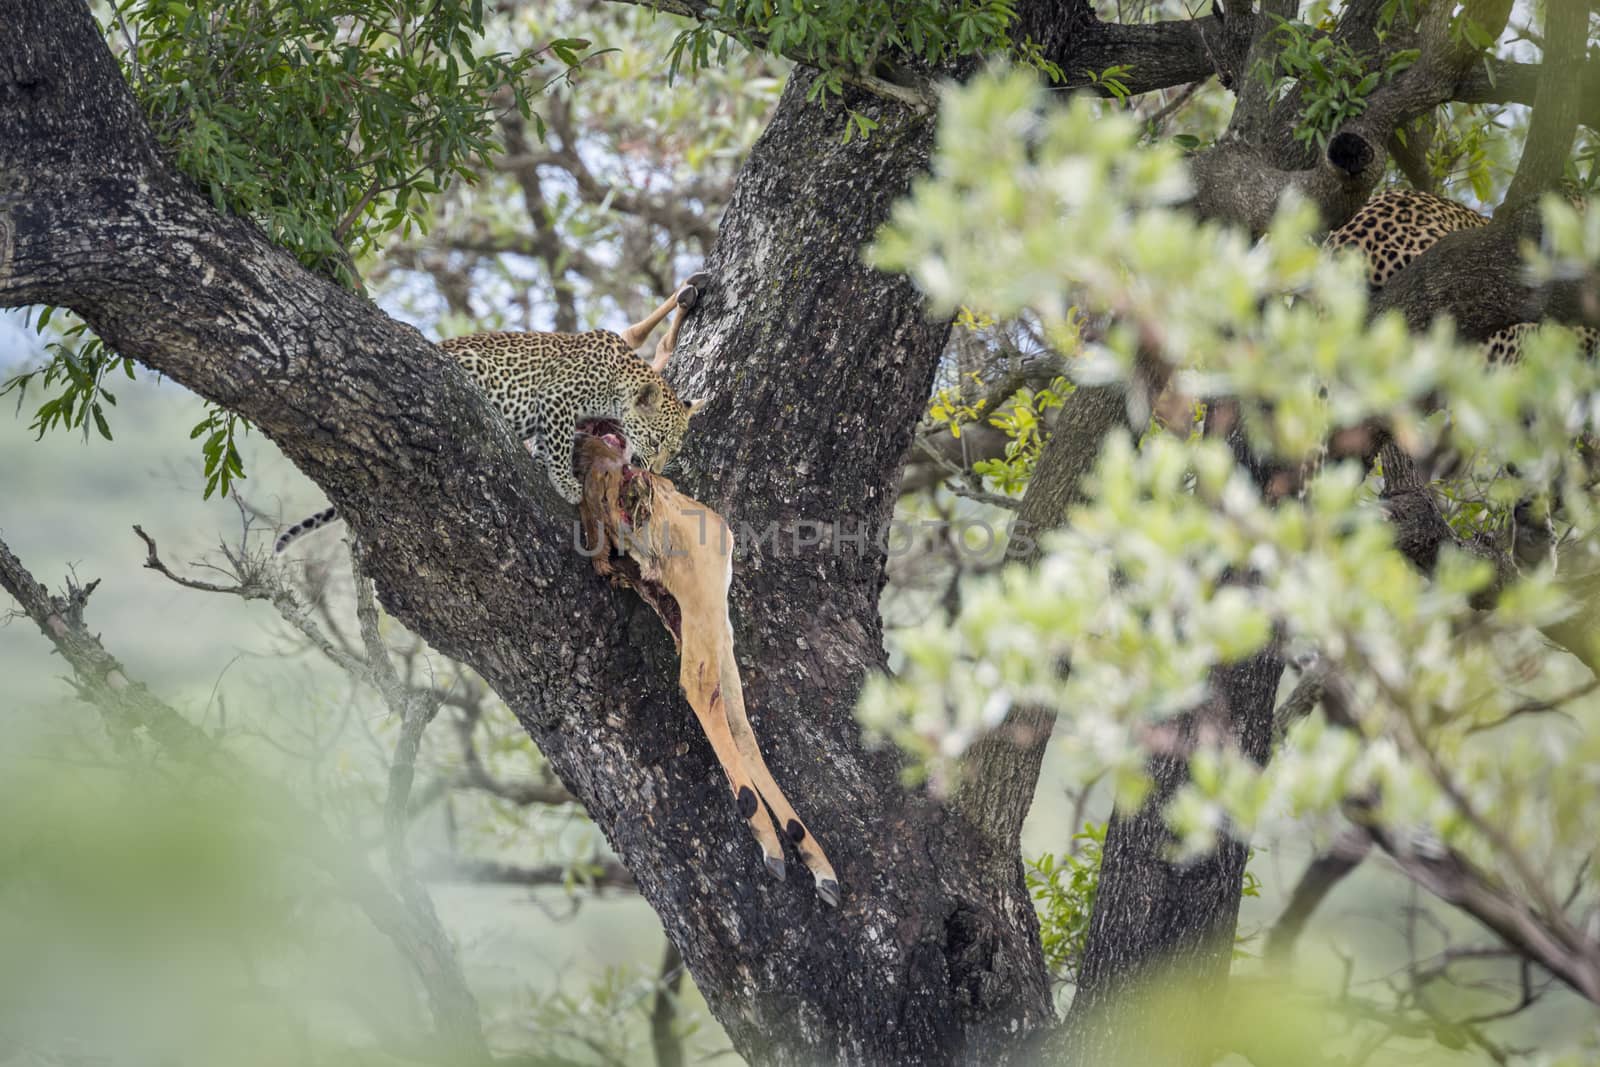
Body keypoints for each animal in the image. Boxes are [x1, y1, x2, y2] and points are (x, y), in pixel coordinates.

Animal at [278, 275, 710, 556]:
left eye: (672, 450)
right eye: (654, 441)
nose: (653, 470)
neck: (619, 380)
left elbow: (548, 445)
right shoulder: (556, 399)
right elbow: (556, 444)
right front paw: (565, 484)